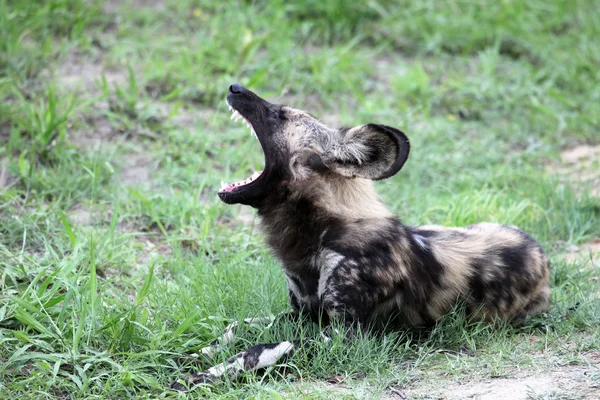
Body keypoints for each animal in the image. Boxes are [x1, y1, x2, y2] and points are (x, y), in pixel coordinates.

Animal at [168, 83, 548, 390]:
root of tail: (539, 251)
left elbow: (263, 349)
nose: (234, 86)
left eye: (279, 115)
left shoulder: (343, 334)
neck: (320, 232)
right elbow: (236, 327)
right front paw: (193, 352)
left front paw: (204, 376)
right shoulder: (301, 315)